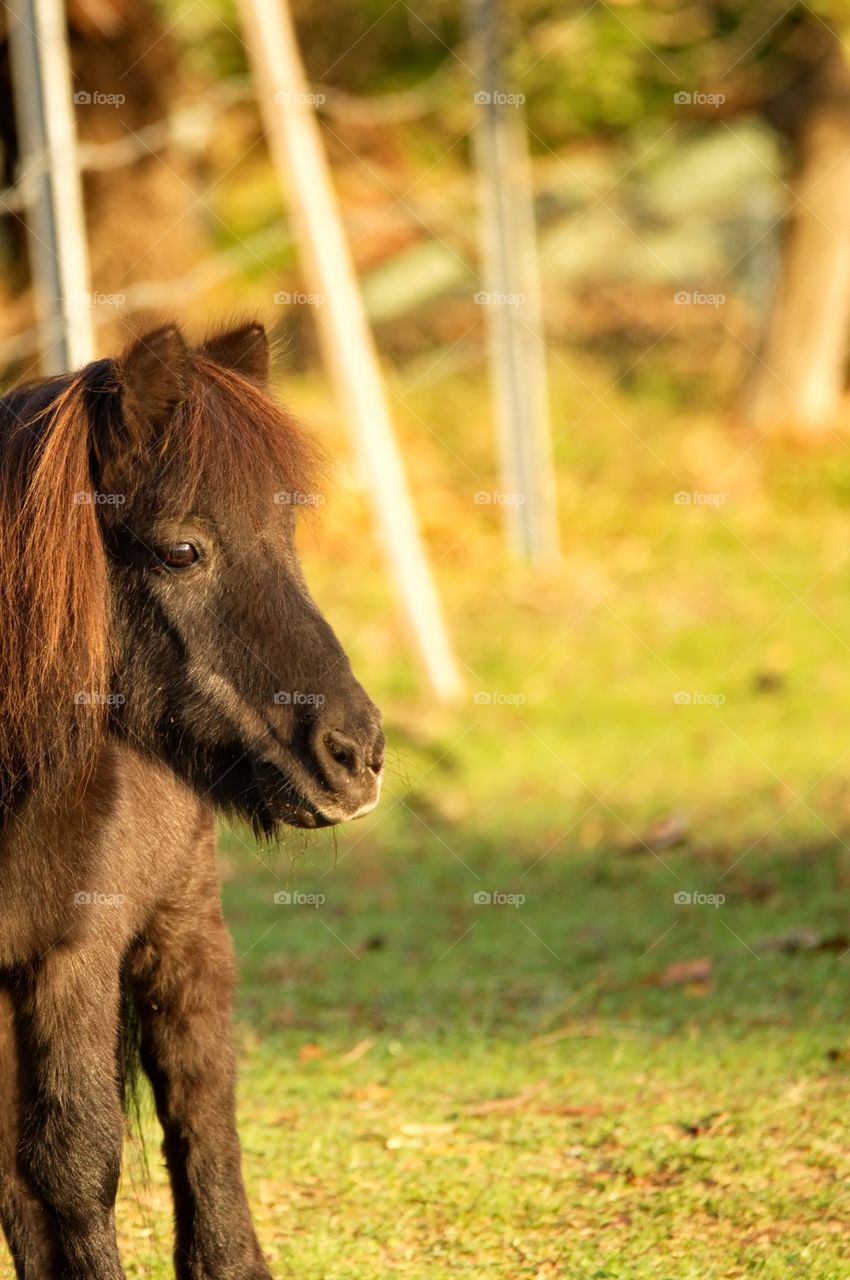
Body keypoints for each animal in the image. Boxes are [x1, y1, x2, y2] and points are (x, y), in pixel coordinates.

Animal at [0, 320, 381, 1280]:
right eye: (180, 550)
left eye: (286, 534)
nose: (358, 753)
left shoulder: (75, 959)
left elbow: (79, 1164)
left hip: (184, 934)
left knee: (202, 1111)